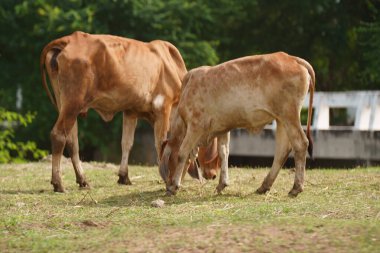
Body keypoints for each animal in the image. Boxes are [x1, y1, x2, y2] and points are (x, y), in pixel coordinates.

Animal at [39, 31, 186, 192]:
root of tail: (69, 38)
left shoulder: (130, 111)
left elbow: (126, 143)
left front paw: (124, 176)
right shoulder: (163, 107)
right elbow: (160, 143)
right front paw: (166, 179)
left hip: (65, 104)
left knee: (72, 141)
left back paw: (82, 180)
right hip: (73, 103)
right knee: (59, 136)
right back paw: (58, 183)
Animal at [159, 51, 314, 197]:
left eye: (170, 161)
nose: (167, 184)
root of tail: (292, 58)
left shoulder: (195, 126)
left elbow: (183, 152)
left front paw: (174, 186)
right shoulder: (222, 128)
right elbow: (224, 153)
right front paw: (222, 184)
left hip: (289, 115)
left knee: (301, 143)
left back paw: (296, 187)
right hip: (281, 119)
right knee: (282, 150)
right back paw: (264, 186)